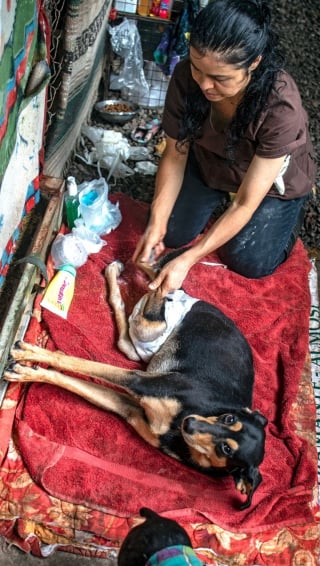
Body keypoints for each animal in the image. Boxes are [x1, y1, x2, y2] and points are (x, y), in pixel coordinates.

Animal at [3, 254, 266, 510]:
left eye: (226, 449)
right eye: (228, 418)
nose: (190, 424)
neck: (179, 423)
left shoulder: (131, 404)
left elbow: (74, 370)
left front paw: (28, 367)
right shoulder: (141, 383)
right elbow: (77, 363)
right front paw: (29, 356)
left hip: (147, 336)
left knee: (130, 327)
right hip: (153, 326)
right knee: (157, 279)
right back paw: (133, 263)